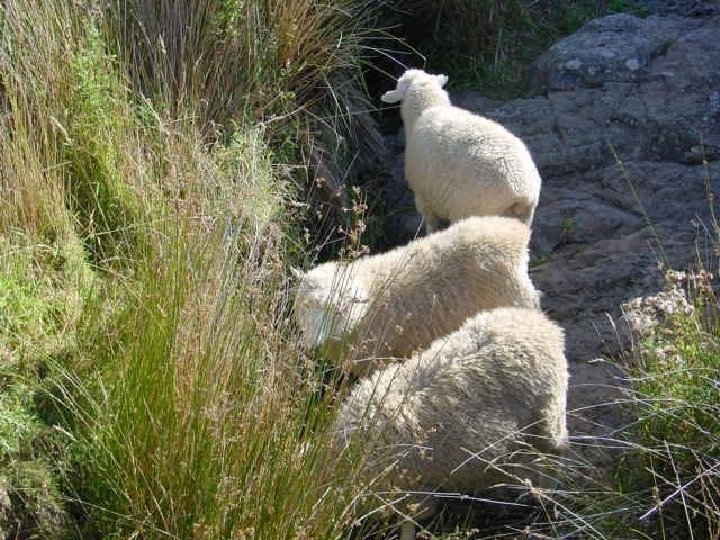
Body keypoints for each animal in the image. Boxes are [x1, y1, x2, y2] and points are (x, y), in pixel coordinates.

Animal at [333, 306, 569, 540]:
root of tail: (538, 321)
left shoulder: (412, 491)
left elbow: (408, 522)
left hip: (548, 415)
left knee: (555, 455)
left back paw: (546, 496)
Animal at [381, 69, 542, 232]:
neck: (428, 108)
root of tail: (523, 194)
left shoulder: (423, 195)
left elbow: (431, 224)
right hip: (520, 221)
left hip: (468, 210)